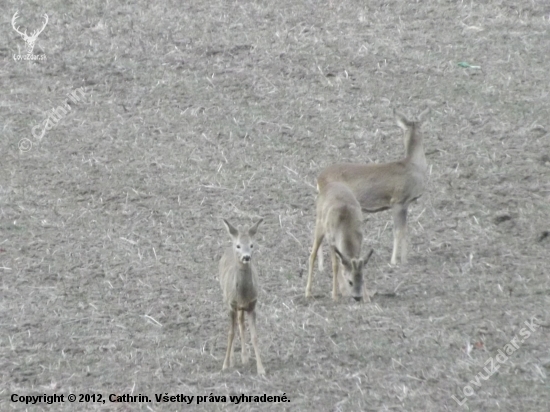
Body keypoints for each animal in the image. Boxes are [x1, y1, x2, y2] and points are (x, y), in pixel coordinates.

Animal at [219, 219, 266, 376]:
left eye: (251, 245)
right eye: (239, 246)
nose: (246, 257)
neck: (242, 294)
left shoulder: (252, 305)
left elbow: (255, 336)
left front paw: (261, 369)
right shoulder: (231, 305)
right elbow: (230, 333)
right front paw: (226, 365)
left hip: (242, 308)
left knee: (241, 322)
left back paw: (245, 358)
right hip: (226, 298)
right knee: (235, 327)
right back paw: (233, 360)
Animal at [316, 108, 430, 266]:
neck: (413, 167)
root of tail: (318, 178)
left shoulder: (406, 203)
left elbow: (404, 230)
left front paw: (405, 260)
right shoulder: (398, 200)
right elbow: (397, 231)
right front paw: (394, 261)